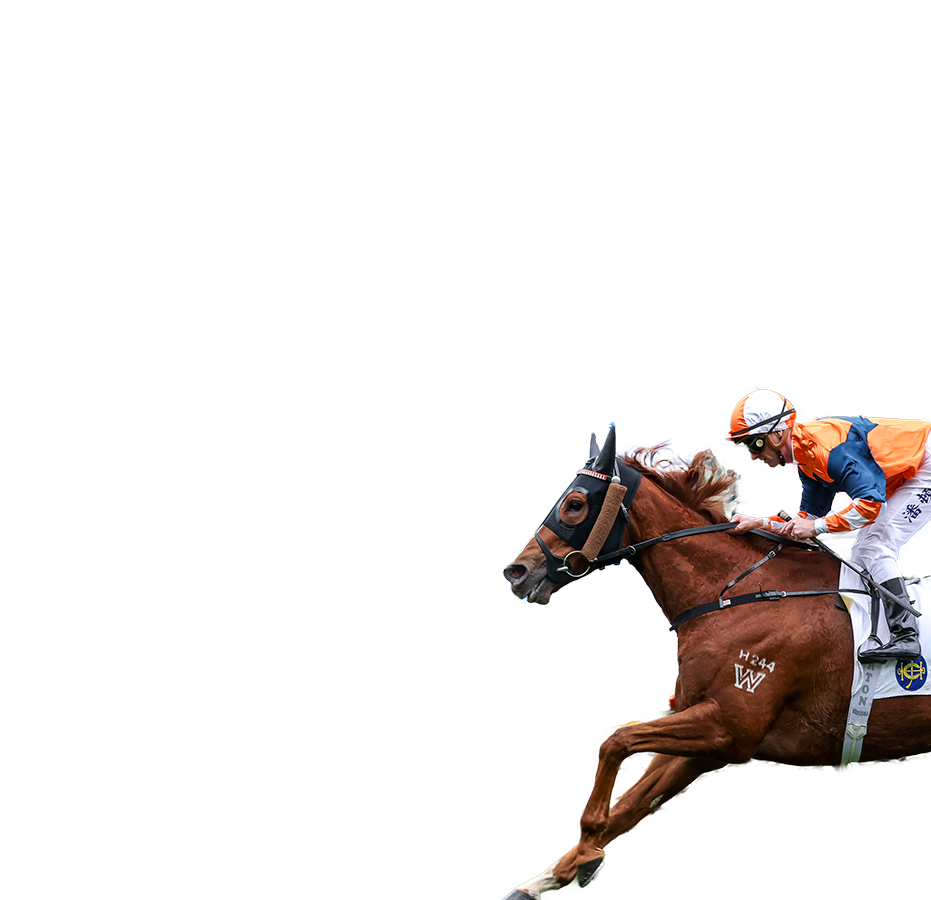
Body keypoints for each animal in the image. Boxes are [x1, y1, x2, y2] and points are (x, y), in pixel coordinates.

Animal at [497, 427, 931, 899]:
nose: (517, 571)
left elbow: (619, 742)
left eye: (574, 503)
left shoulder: (731, 725)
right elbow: (631, 803)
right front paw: (545, 878)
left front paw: (588, 844)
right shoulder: (706, 739)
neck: (736, 594)